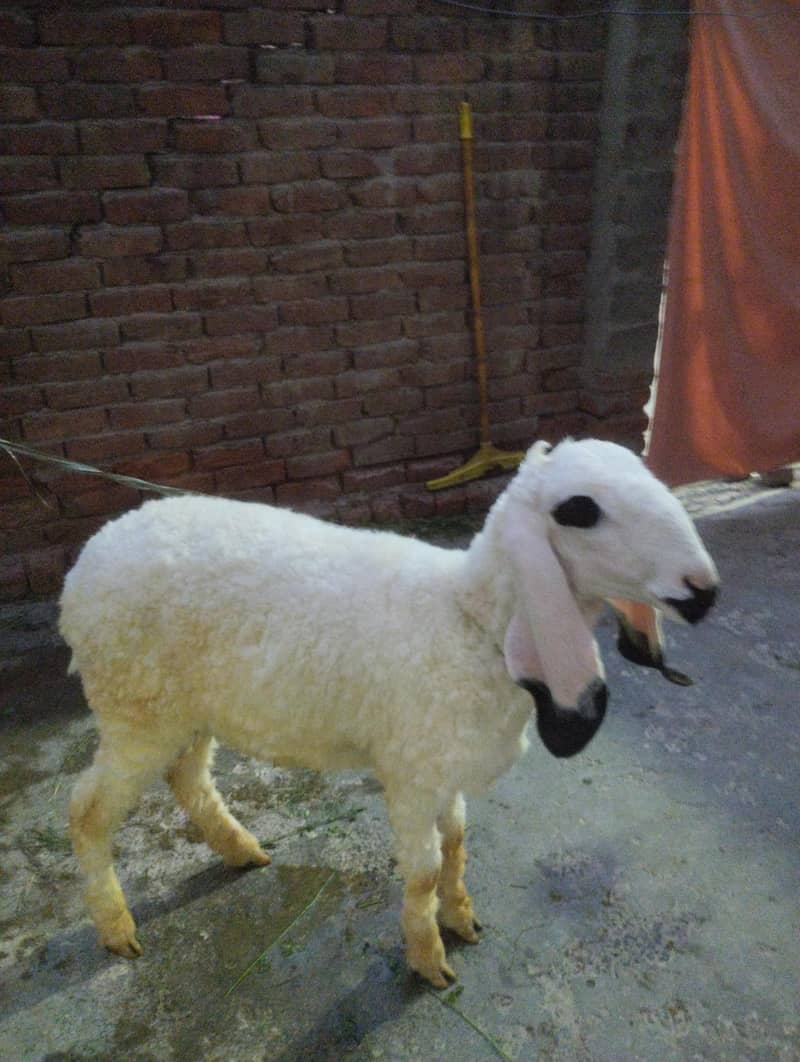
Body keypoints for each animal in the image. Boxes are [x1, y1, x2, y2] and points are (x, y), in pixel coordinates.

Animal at [60, 438, 719, 988]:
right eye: (579, 510)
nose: (704, 592)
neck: (470, 622)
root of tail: (88, 558)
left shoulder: (444, 767)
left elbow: (456, 844)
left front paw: (462, 921)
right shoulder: (410, 773)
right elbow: (424, 870)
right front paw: (429, 960)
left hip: (187, 708)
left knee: (188, 776)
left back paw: (241, 850)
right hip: (135, 706)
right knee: (89, 810)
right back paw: (117, 929)